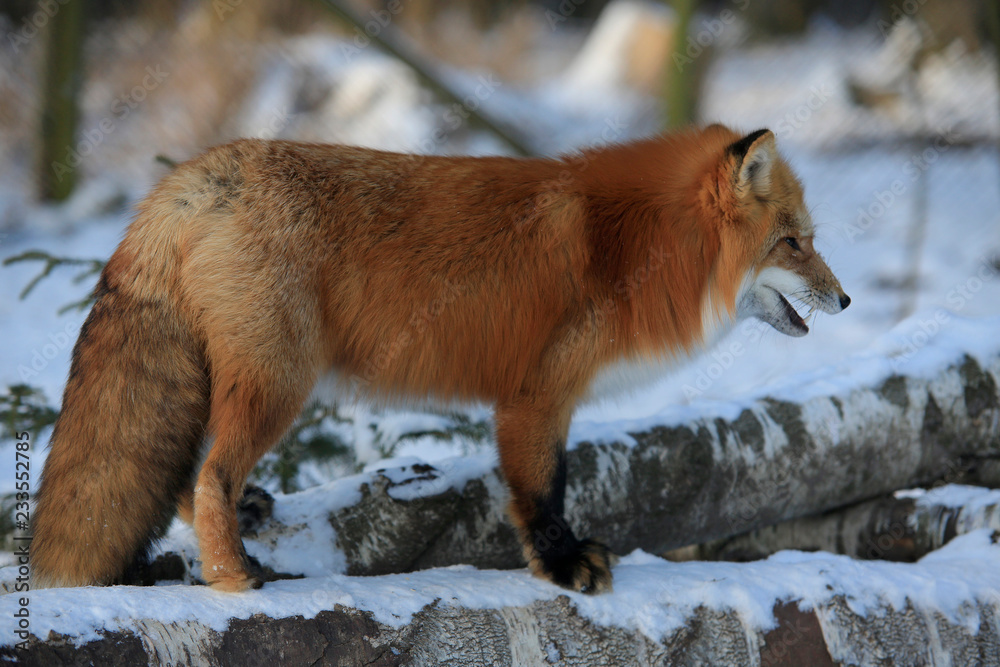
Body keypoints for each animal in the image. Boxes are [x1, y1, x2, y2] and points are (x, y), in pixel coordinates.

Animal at [31, 124, 849, 594]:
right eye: (793, 244)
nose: (844, 301)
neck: (634, 248)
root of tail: (185, 180)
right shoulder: (534, 394)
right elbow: (542, 490)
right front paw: (561, 566)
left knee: (185, 470)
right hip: (280, 380)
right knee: (207, 474)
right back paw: (233, 575)